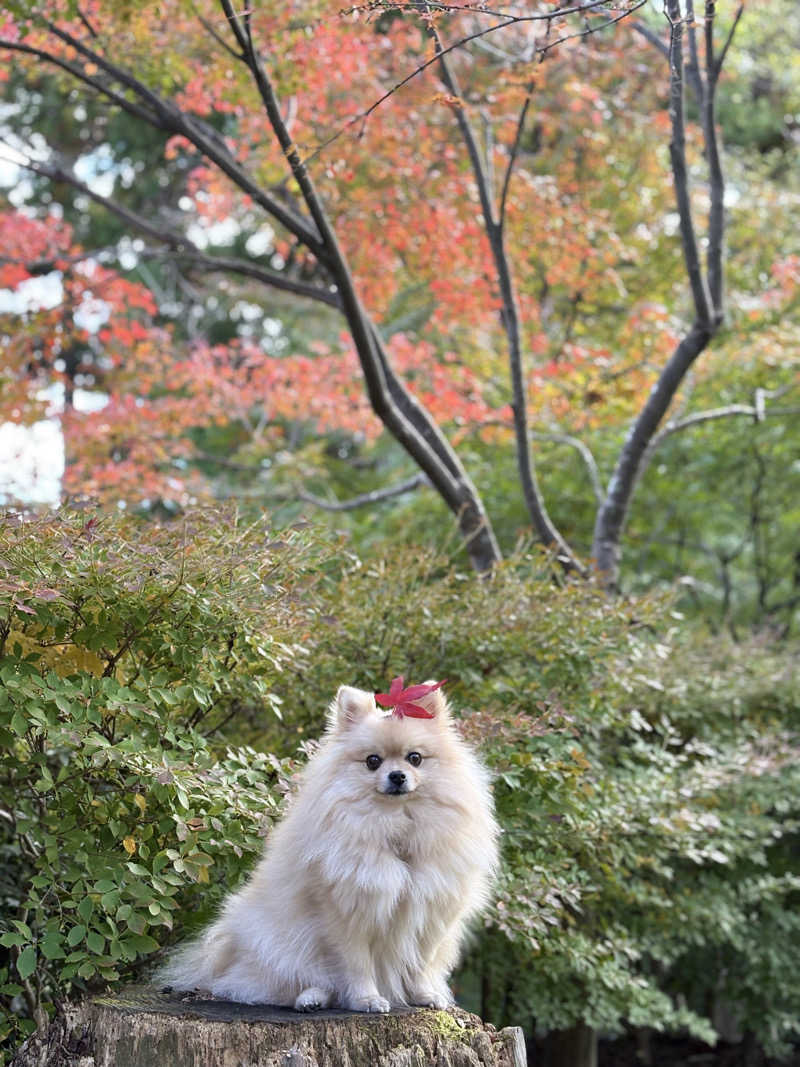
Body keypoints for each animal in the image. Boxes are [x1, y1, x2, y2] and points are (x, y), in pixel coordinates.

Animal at [161, 678, 501, 1011]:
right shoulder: (345, 913)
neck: (393, 824)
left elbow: (420, 963)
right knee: (284, 982)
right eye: (372, 761)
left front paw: (424, 995)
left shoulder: (430, 913)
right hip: (278, 943)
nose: (397, 775)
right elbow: (356, 964)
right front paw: (365, 1000)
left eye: (414, 758)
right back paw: (311, 998)